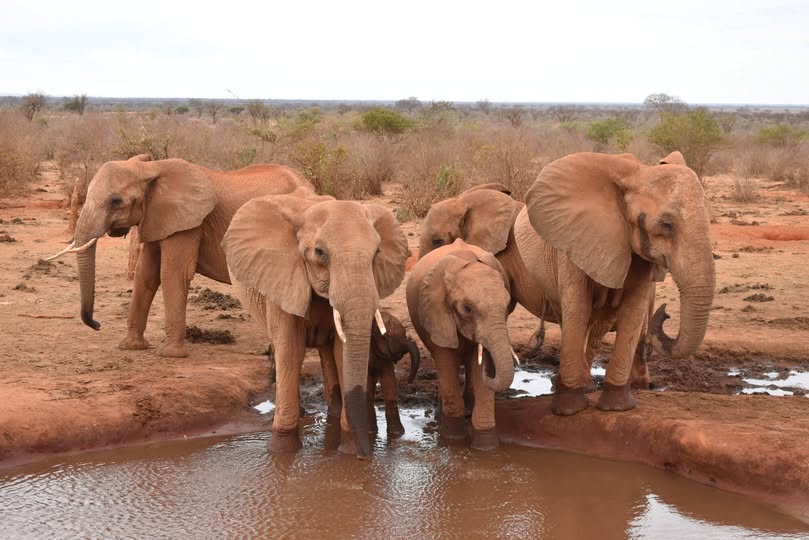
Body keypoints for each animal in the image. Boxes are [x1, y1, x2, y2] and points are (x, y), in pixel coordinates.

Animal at [45, 154, 313, 358]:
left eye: (116, 201)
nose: (97, 325)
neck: (152, 168)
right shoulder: (158, 218)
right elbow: (146, 275)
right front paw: (131, 347)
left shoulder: (188, 223)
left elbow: (172, 274)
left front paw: (170, 355)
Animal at [222, 193, 410, 458]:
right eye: (320, 252)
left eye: (376, 253)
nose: (366, 456)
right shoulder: (283, 279)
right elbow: (291, 350)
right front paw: (282, 452)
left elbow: (342, 352)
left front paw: (348, 452)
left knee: (327, 353)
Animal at [406, 239, 516, 451]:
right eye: (467, 308)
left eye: (507, 305)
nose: (490, 367)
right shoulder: (436, 313)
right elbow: (447, 363)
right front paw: (453, 441)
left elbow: (479, 373)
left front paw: (485, 449)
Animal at [515, 151, 715, 415]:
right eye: (666, 224)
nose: (666, 312)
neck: (637, 173)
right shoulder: (574, 242)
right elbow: (577, 310)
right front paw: (569, 411)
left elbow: (633, 312)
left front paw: (617, 407)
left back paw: (586, 385)